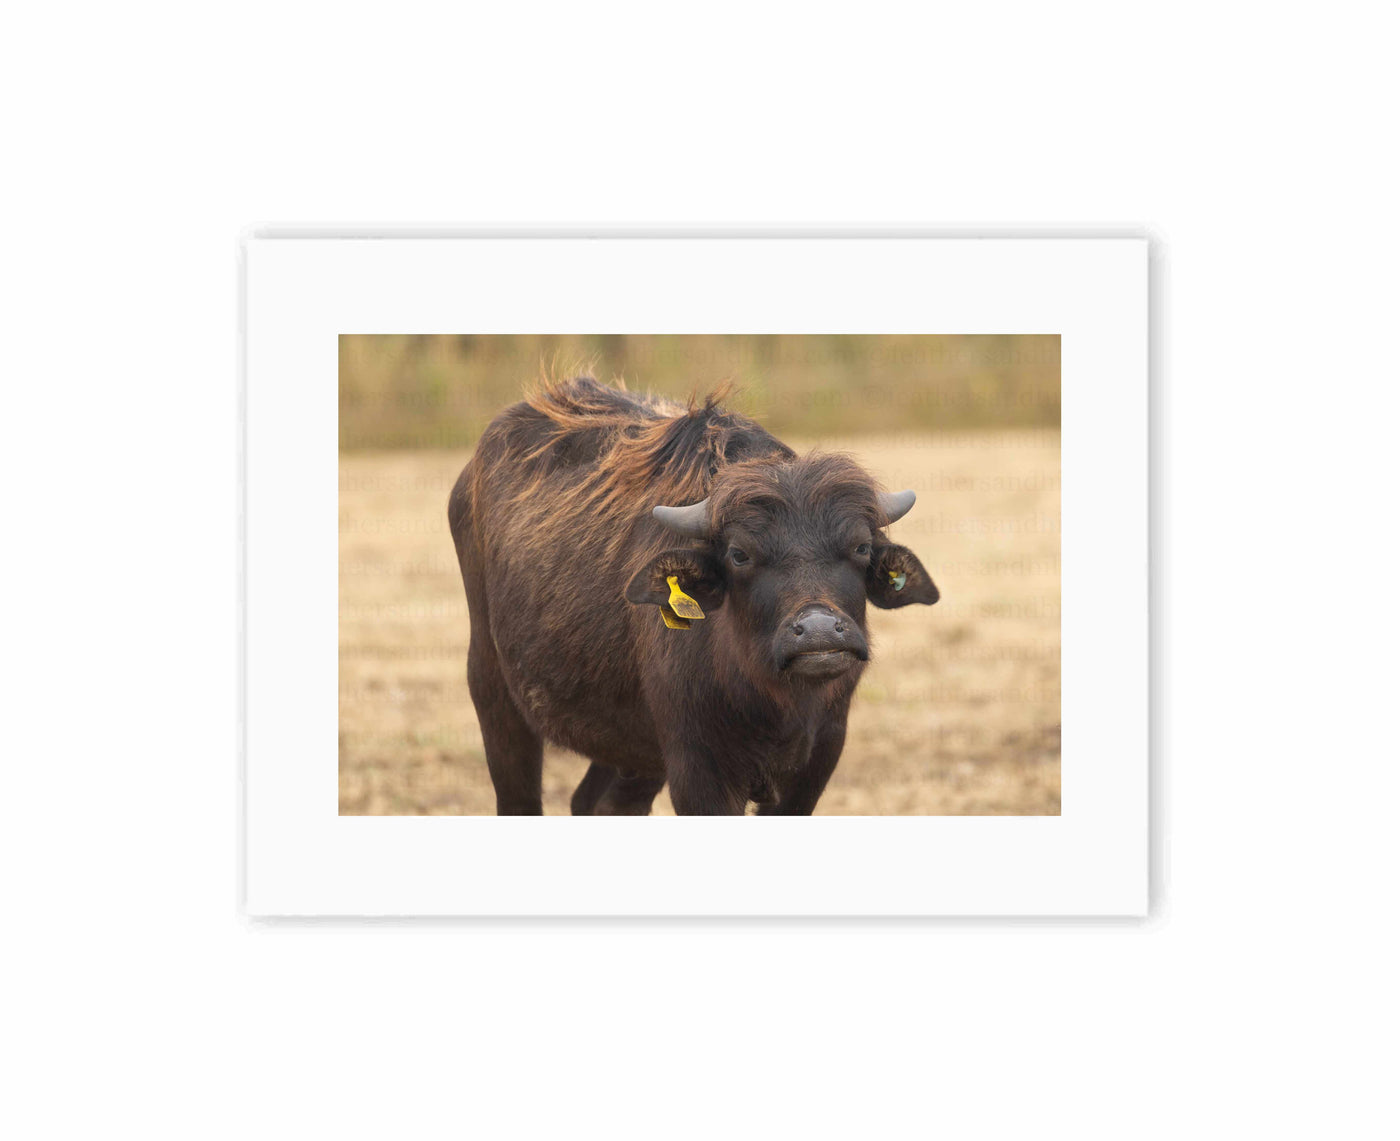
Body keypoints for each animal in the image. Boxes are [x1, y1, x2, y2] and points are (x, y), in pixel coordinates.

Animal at [448, 376, 938, 815]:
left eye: (860, 547)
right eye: (739, 554)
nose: (818, 631)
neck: (771, 702)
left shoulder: (815, 765)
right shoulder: (697, 771)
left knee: (598, 804)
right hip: (494, 693)